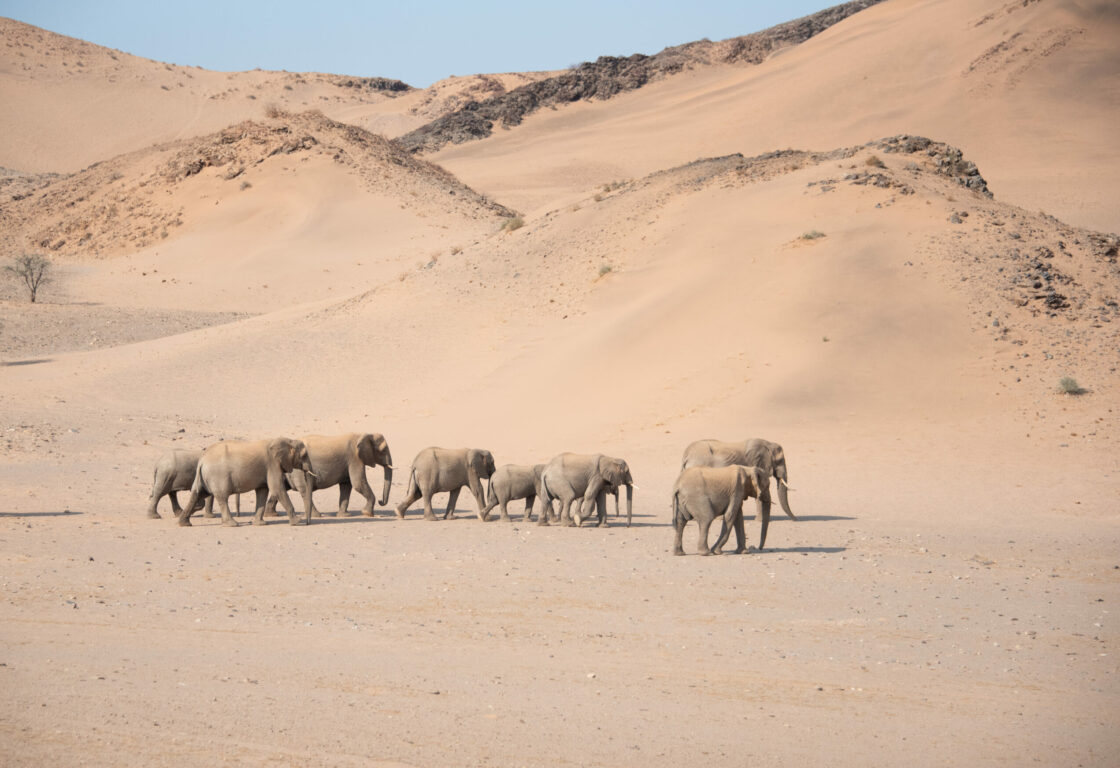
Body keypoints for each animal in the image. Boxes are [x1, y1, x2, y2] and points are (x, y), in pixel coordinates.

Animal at [177, 437, 315, 527]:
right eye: (304, 455)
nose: (308, 522)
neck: (286, 440)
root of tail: (202, 460)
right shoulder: (272, 464)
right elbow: (277, 488)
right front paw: (297, 522)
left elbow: (263, 491)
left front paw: (260, 524)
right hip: (217, 476)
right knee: (222, 498)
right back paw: (232, 524)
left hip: (204, 477)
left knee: (198, 494)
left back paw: (184, 523)